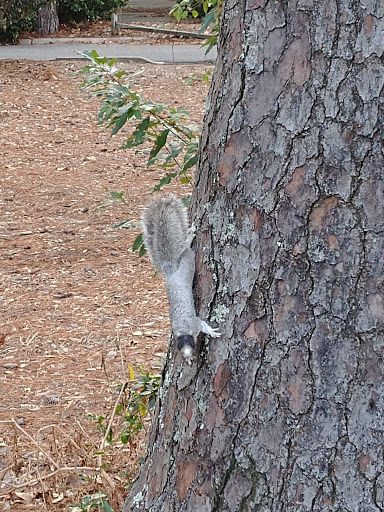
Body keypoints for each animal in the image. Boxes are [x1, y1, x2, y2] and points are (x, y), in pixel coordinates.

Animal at [142, 193, 220, 364]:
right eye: (179, 347)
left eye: (192, 343)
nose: (188, 356)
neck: (184, 329)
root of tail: (171, 270)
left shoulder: (195, 323)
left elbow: (203, 325)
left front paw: (212, 332)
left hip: (188, 263)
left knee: (185, 248)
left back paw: (189, 238)